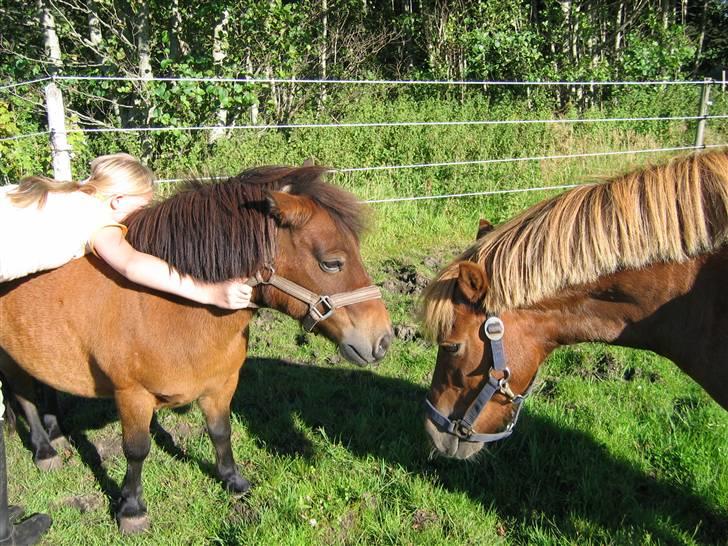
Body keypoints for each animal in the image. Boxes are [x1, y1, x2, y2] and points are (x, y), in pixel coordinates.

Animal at [0, 166, 392, 532]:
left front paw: (233, 480)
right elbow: (136, 451)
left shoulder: (220, 385)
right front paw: (132, 509)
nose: (383, 339)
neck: (170, 306)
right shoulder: (132, 395)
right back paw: (44, 449)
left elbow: (220, 432)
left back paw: (55, 434)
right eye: (332, 263)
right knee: (23, 394)